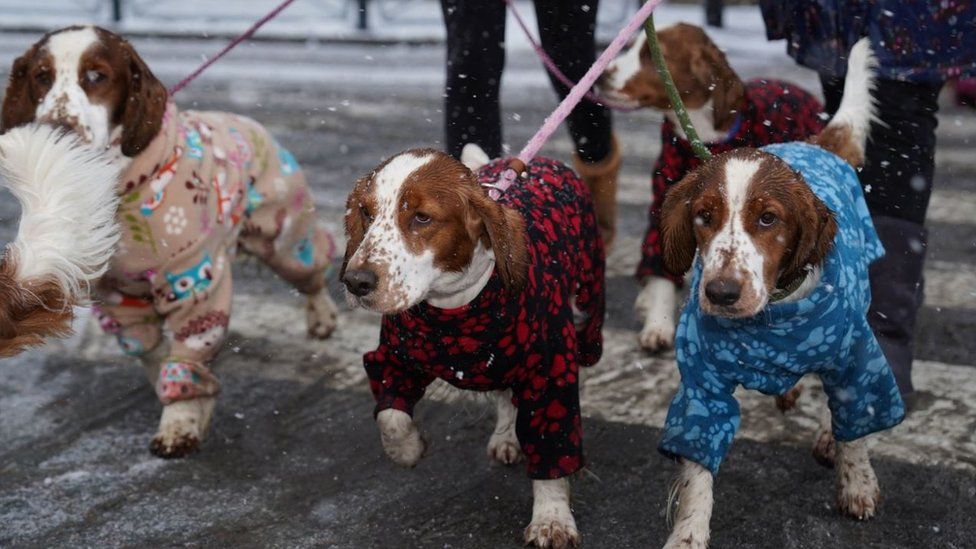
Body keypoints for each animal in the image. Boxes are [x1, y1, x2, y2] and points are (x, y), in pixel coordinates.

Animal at [0, 25, 342, 456]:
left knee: (311, 273)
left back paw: (323, 319)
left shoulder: (194, 282)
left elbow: (188, 351)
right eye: (41, 75)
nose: (57, 129)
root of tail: (249, 121)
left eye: (96, 75)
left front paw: (179, 425)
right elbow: (150, 349)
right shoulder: (117, 298)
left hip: (283, 238)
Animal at [342, 147, 604, 548]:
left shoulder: (547, 375)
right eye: (367, 213)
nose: (356, 282)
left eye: (422, 217)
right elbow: (391, 416)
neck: (454, 308)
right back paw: (506, 436)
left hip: (589, 308)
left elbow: (552, 451)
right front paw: (408, 450)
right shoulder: (393, 360)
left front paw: (552, 519)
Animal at [596, 22, 824, 352]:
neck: (701, 137)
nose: (600, 76)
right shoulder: (667, 197)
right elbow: (660, 261)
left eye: (652, 55)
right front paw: (658, 324)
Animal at [652, 37, 904, 544]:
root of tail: (814, 144)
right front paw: (688, 534)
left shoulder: (855, 356)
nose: (722, 293)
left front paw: (858, 483)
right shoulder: (702, 387)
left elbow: (858, 425)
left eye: (768, 218)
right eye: (703, 215)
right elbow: (697, 473)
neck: (772, 317)